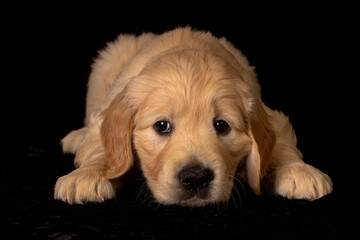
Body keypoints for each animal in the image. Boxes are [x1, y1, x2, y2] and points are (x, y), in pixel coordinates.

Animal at [53, 27, 332, 205]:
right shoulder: (106, 111)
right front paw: (88, 175)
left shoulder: (275, 118)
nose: (195, 177)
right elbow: (100, 145)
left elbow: (282, 145)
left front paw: (300, 171)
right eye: (162, 126)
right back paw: (75, 137)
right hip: (104, 66)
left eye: (222, 125)